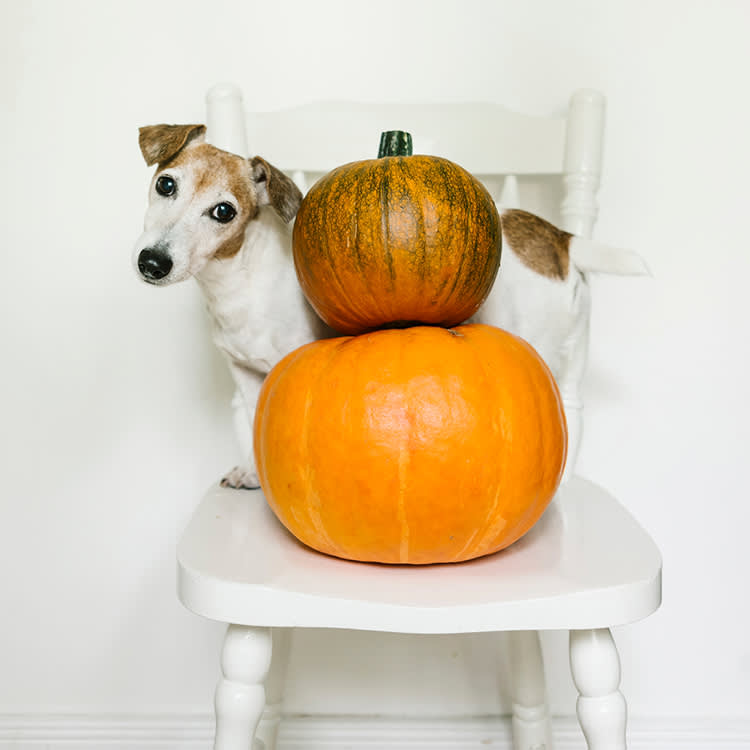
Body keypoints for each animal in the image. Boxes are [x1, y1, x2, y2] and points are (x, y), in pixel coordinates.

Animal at [134, 123, 648, 488]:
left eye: (224, 212)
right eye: (166, 185)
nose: (153, 262)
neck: (239, 275)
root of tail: (558, 236)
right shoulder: (244, 375)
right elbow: (251, 422)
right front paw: (250, 470)